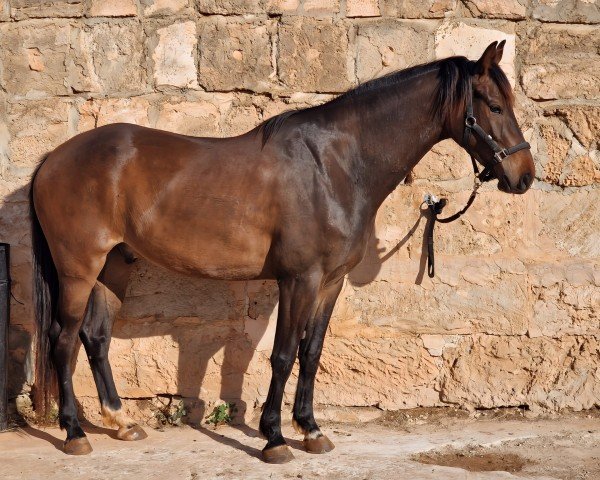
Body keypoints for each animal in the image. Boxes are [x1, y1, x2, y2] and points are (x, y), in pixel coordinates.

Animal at [29, 43, 536, 464]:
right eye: (493, 106)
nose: (525, 176)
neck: (335, 165)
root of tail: (53, 158)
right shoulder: (299, 279)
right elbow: (283, 354)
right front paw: (274, 439)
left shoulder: (330, 283)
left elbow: (311, 352)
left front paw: (310, 430)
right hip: (78, 269)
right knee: (62, 339)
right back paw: (74, 433)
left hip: (112, 266)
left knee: (95, 337)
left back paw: (121, 422)